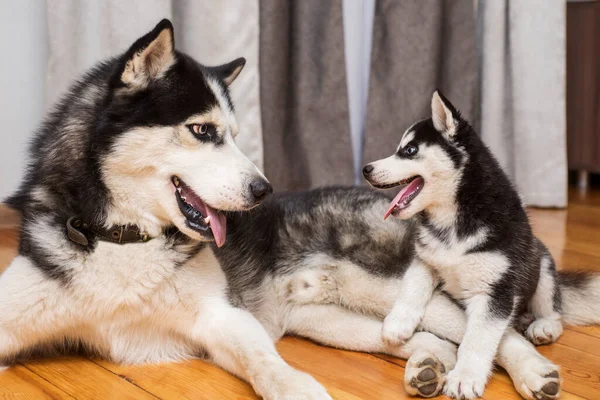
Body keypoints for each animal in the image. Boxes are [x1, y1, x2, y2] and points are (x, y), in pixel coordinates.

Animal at [358, 90, 600, 396]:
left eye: (409, 150)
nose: (366, 169)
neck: (453, 221)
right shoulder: (426, 259)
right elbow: (412, 287)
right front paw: (398, 322)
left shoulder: (495, 291)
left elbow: (478, 339)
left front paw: (465, 376)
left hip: (541, 262)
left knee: (554, 310)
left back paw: (543, 326)